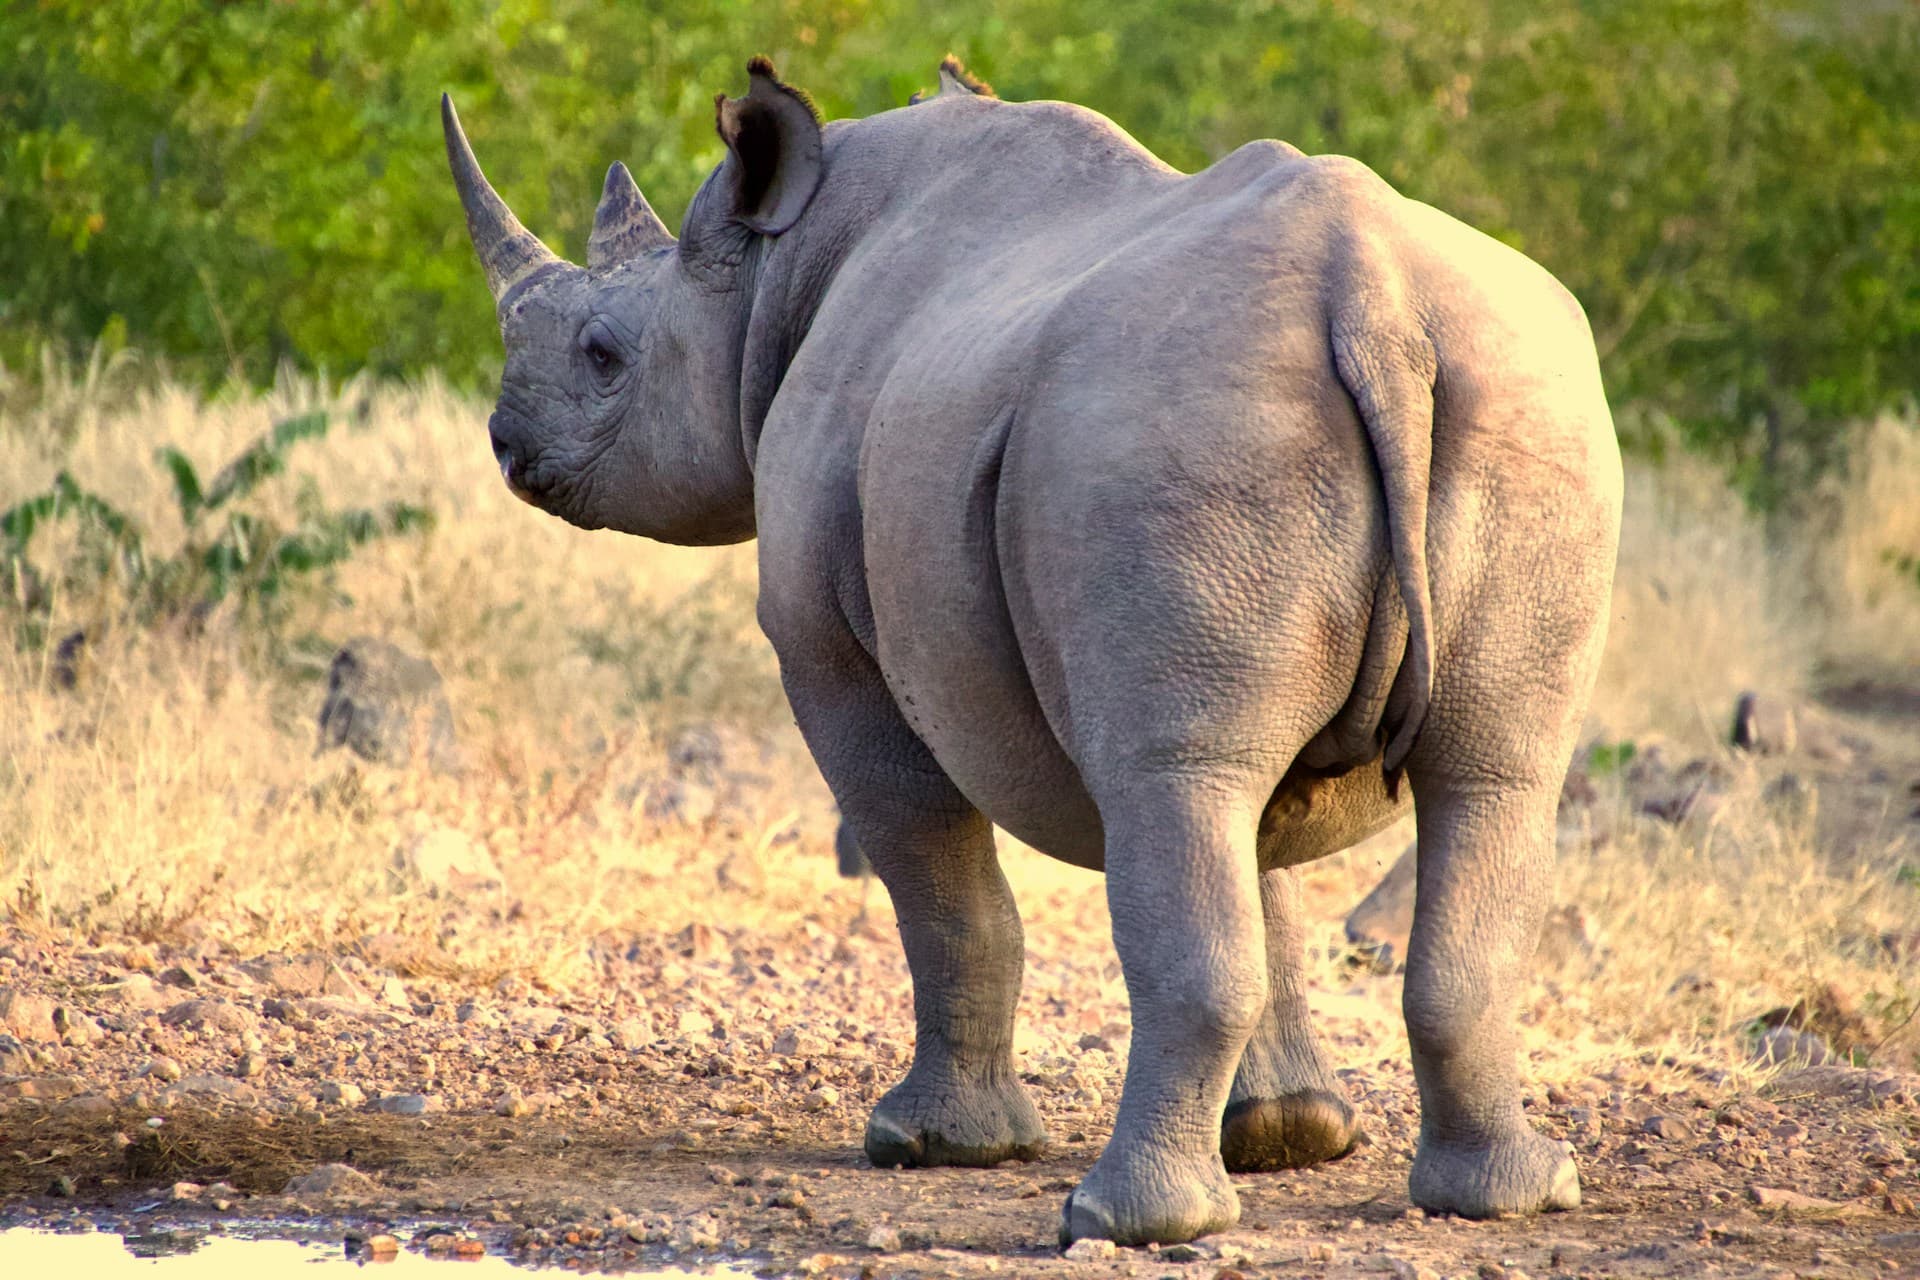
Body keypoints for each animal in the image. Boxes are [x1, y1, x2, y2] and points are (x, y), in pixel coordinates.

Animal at [442, 56, 1621, 1246]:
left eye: (603, 355)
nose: (504, 442)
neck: (777, 270)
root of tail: (1373, 301)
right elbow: (1266, 866)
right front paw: (1289, 1134)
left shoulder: (830, 648)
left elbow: (942, 883)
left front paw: (931, 1144)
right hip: (1522, 411)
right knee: (1483, 776)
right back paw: (1508, 1196)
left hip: (1171, 432)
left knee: (1173, 781)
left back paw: (1119, 1218)